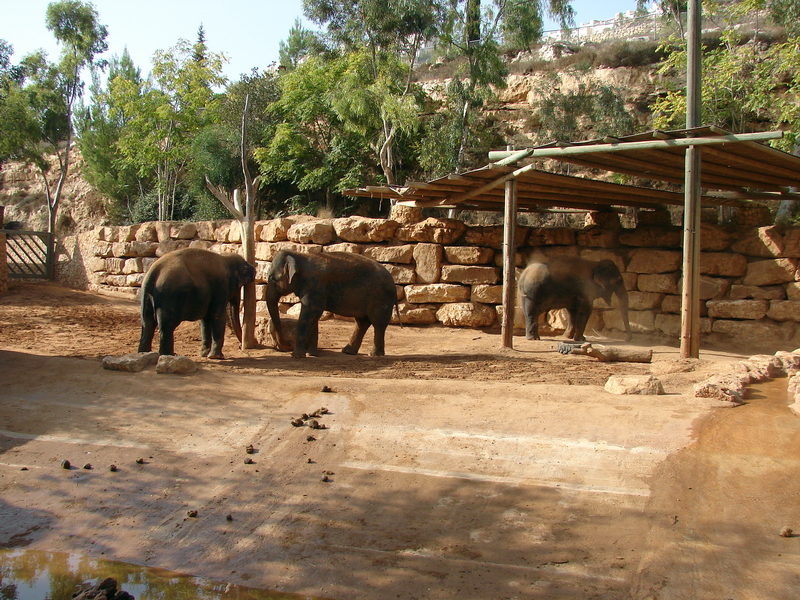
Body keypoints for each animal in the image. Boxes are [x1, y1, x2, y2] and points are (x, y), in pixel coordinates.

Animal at [266, 250, 400, 358]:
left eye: (272, 278)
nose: (288, 345)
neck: (300, 256)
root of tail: (394, 283)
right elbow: (313, 315)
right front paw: (312, 354)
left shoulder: (315, 286)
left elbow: (310, 313)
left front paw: (297, 356)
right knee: (362, 322)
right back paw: (347, 352)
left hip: (381, 297)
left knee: (378, 323)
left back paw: (374, 355)